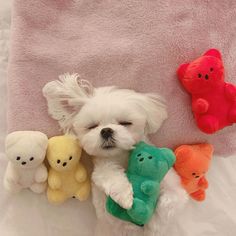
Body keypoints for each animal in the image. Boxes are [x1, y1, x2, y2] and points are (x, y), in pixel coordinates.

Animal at [42, 74, 188, 236]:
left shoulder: (175, 189)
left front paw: (152, 225)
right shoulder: (102, 169)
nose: (106, 130)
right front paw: (126, 197)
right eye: (92, 126)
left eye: (125, 123)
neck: (122, 157)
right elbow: (111, 177)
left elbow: (168, 203)